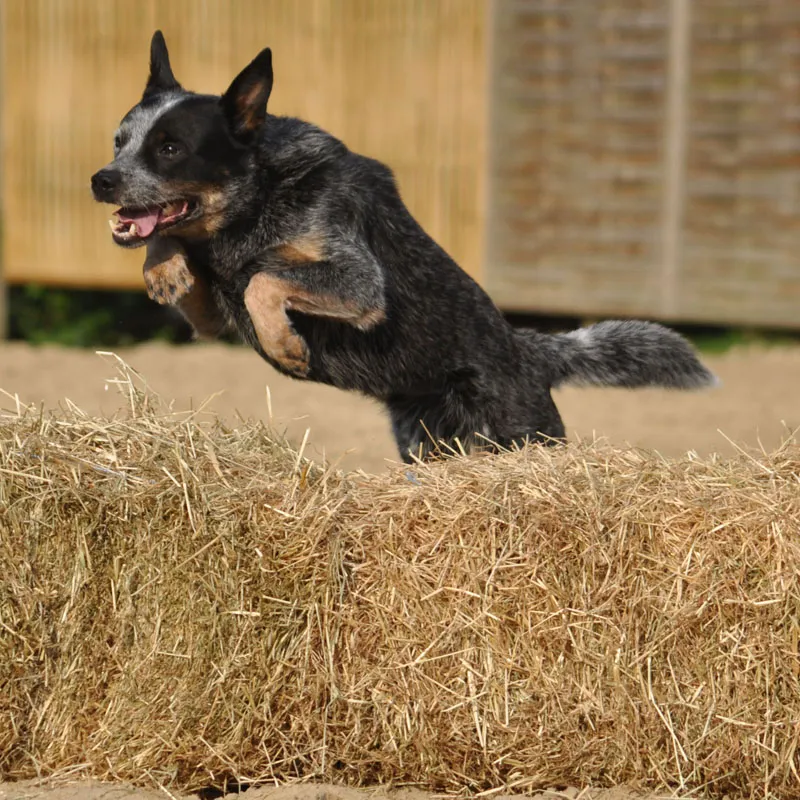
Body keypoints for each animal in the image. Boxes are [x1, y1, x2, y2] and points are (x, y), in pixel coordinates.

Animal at [89, 32, 720, 462]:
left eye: (171, 148)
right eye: (119, 141)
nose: (101, 180)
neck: (261, 196)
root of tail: (528, 350)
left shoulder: (359, 283)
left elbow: (266, 281)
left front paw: (286, 346)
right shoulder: (213, 317)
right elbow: (177, 245)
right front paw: (163, 268)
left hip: (519, 432)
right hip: (425, 440)